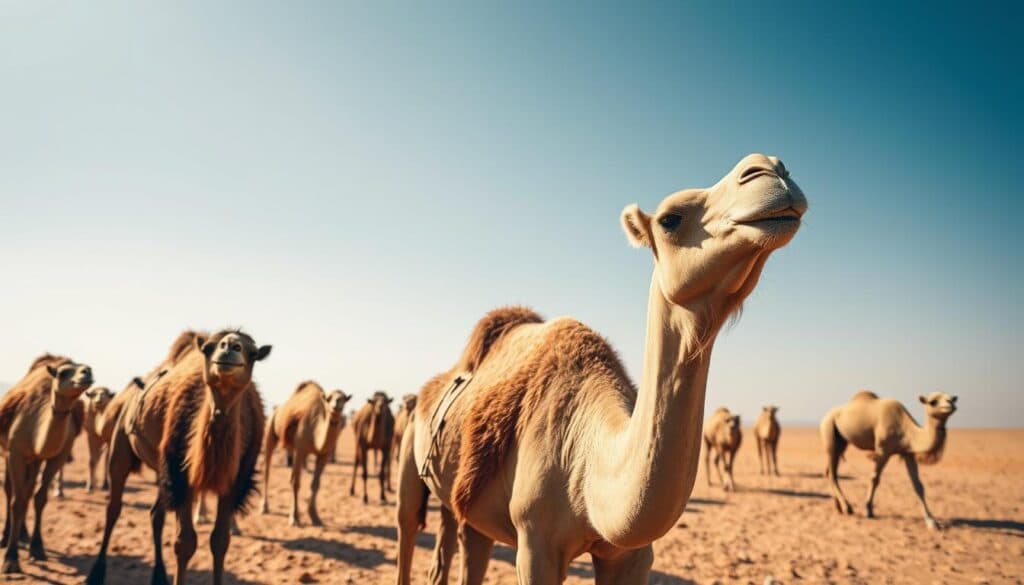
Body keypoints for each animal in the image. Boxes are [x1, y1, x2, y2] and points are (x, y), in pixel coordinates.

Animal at [0, 354, 94, 573]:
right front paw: (10, 558)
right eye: (63, 373)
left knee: (27, 491)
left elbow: (39, 498)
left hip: (35, 460)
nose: (87, 373)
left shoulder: (57, 455)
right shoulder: (16, 452)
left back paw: (23, 535)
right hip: (9, 452)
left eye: (89, 368)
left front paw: (37, 548)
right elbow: (16, 501)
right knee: (10, 490)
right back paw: (6, 537)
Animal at [86, 330, 271, 585]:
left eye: (253, 353)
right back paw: (96, 573)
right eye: (208, 348)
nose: (229, 346)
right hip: (122, 446)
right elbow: (185, 542)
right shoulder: (180, 473)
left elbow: (220, 541)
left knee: (156, 515)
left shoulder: (234, 481)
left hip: (161, 468)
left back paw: (159, 576)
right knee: (113, 508)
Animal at [261, 381, 351, 526]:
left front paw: (315, 517)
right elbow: (296, 483)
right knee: (267, 471)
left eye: (344, 398)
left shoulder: (324, 455)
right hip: (270, 430)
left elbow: (315, 484)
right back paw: (264, 507)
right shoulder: (301, 450)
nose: (337, 403)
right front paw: (294, 518)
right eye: (329, 398)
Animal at [394, 153, 807, 584]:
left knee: (467, 542)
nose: (769, 168)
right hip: (408, 447)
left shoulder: (633, 554)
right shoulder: (534, 545)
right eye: (670, 219)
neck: (589, 466)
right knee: (407, 526)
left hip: (467, 499)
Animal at [821, 390, 957, 530]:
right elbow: (875, 478)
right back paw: (847, 507)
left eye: (952, 399)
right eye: (933, 402)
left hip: (841, 441)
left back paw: (838, 507)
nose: (950, 405)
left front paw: (932, 522)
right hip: (829, 430)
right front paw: (869, 510)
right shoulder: (883, 450)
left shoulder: (908, 452)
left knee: (830, 471)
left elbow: (918, 485)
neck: (905, 428)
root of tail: (827, 415)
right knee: (832, 472)